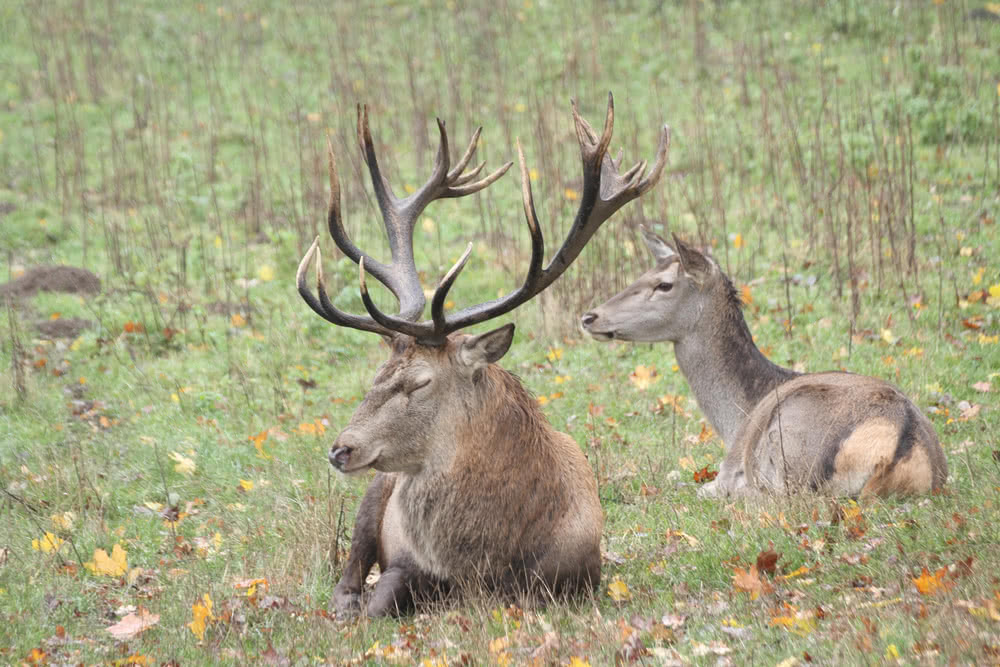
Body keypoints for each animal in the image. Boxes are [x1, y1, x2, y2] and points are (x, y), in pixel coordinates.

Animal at [296, 98, 668, 616]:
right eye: (378, 374)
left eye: (420, 382)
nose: (340, 449)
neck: (478, 566)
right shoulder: (404, 563)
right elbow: (378, 602)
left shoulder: (576, 578)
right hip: (374, 494)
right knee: (350, 566)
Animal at [580, 227, 944, 498]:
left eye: (664, 284)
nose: (589, 317)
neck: (733, 419)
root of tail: (899, 445)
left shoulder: (727, 467)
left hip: (793, 446)